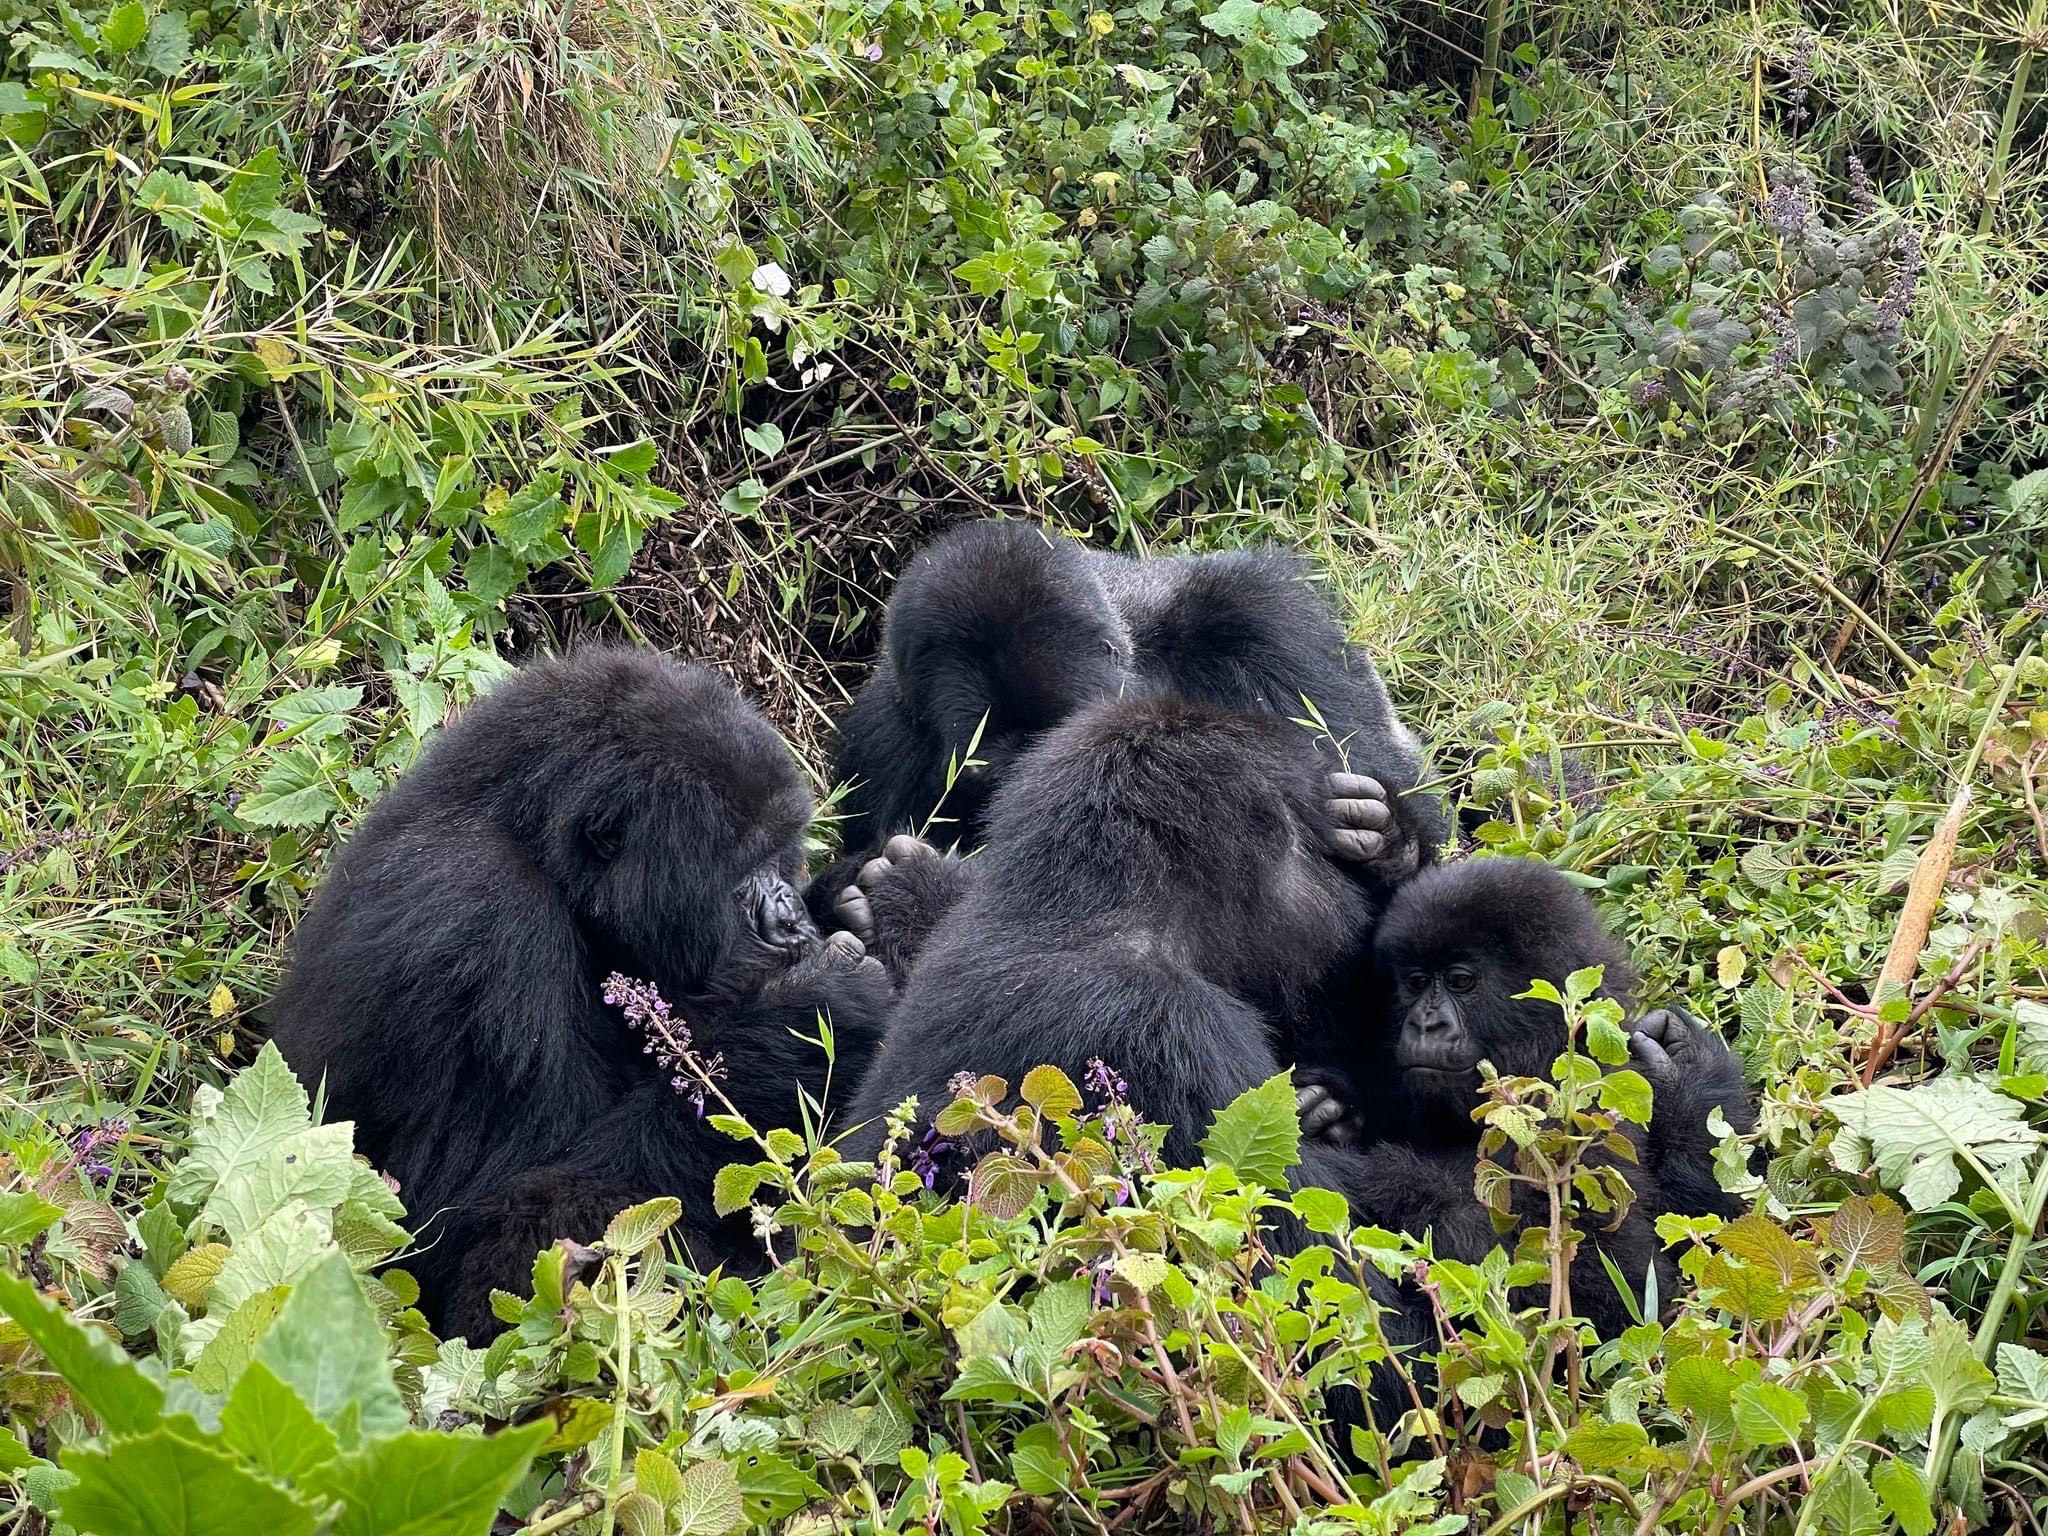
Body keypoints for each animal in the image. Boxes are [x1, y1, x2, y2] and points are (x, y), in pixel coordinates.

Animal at [264, 643, 888, 1343]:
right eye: (744, 868)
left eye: (785, 851)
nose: (790, 920)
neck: (537, 847)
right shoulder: (480, 925)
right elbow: (504, 1236)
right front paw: (815, 1012)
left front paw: (863, 898)